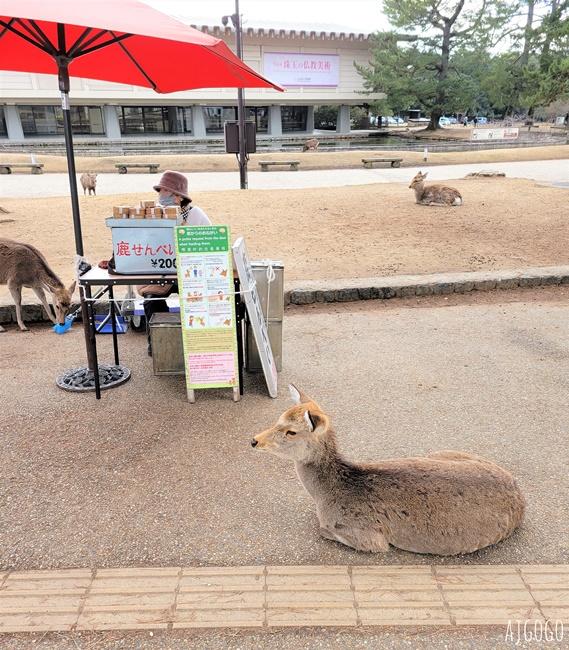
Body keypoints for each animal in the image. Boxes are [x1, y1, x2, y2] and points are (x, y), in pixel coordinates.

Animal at [251, 382, 524, 556]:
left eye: (291, 431)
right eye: (278, 418)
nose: (254, 440)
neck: (326, 496)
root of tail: (520, 496)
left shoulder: (368, 537)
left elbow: (323, 530)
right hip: (443, 452)